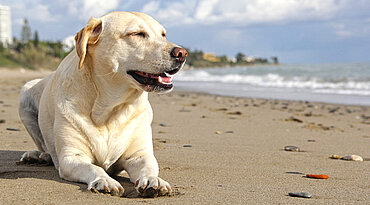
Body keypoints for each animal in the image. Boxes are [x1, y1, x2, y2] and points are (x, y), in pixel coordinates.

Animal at [17, 11, 186, 197]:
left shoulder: (139, 155)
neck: (110, 109)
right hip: (25, 92)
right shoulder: (71, 158)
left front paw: (153, 180)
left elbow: (148, 166)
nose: (182, 53)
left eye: (163, 35)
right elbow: (94, 168)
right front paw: (104, 180)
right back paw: (39, 156)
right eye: (137, 34)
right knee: (44, 146)